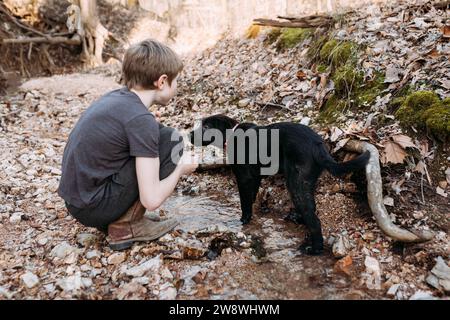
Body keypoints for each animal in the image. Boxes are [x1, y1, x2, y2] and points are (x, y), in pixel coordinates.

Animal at [190, 115, 370, 255]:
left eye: (206, 127)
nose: (189, 134)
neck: (232, 134)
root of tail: (318, 145)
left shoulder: (244, 178)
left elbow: (244, 203)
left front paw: (243, 221)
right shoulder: (255, 177)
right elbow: (252, 196)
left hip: (295, 183)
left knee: (314, 220)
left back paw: (314, 249)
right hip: (305, 182)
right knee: (311, 209)